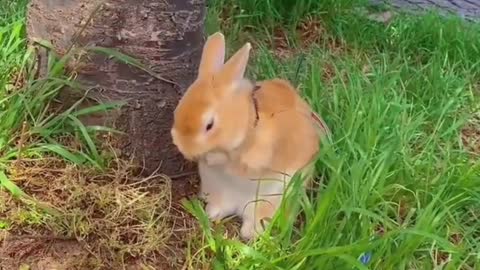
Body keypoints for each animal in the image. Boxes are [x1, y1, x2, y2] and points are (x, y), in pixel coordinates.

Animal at [170, 32, 330, 240]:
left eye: (209, 125)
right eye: (178, 109)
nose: (184, 148)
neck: (247, 125)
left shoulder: (258, 156)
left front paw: (211, 157)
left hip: (273, 199)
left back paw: (250, 233)